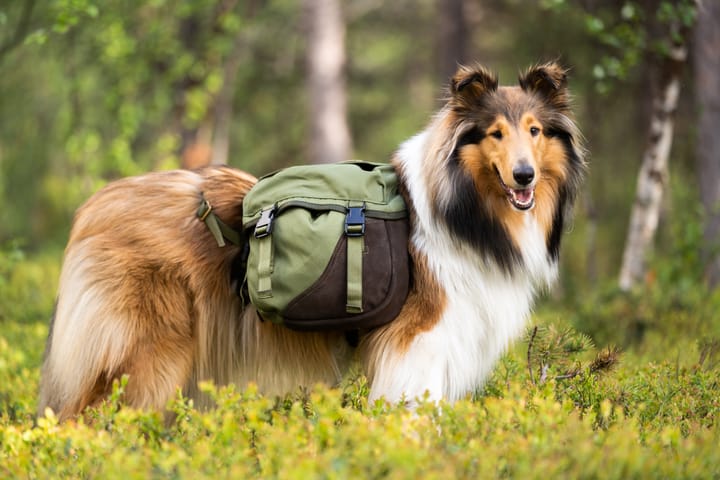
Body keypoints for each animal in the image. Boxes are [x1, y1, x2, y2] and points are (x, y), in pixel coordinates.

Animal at [38, 62, 584, 420]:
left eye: (535, 131)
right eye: (495, 133)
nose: (524, 176)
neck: (466, 208)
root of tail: (93, 206)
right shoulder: (418, 343)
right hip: (144, 359)